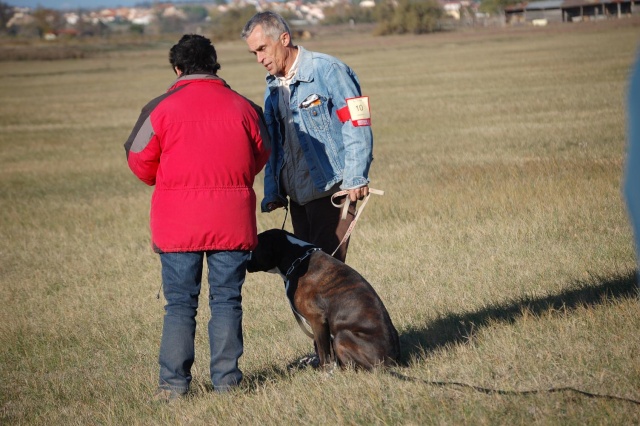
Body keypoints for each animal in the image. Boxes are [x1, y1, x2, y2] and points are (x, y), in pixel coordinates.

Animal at [246, 230, 400, 370]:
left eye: (255, 247)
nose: (245, 258)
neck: (298, 259)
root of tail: (391, 362)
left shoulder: (317, 320)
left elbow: (323, 351)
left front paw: (325, 372)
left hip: (342, 336)